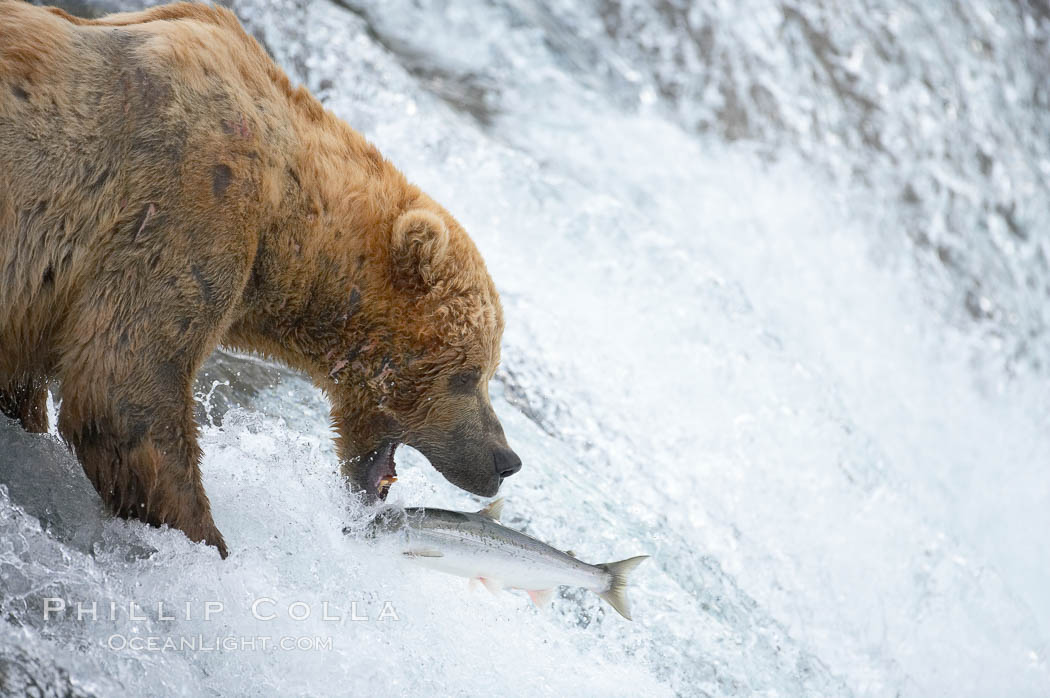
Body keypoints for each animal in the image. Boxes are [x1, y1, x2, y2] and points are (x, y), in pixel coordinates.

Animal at [0, 0, 522, 554]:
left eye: (488, 369)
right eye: (469, 374)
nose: (505, 460)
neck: (285, 216)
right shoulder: (188, 203)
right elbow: (126, 383)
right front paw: (209, 543)